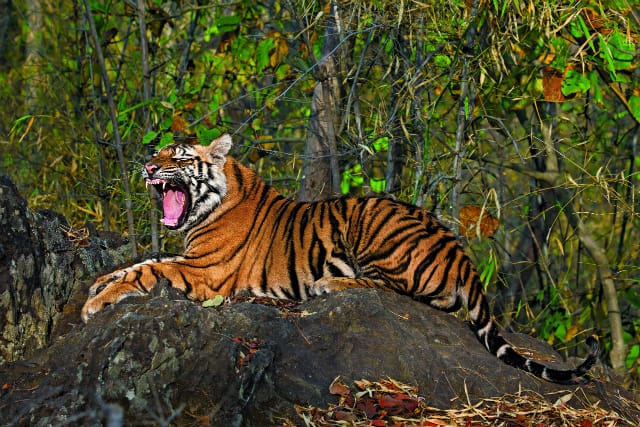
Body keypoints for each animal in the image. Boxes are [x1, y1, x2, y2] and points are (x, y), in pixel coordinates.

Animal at [81, 133, 599, 384]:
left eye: (181, 157)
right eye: (158, 152)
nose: (149, 166)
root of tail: (462, 252)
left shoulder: (204, 271)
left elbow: (149, 268)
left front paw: (93, 304)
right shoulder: (187, 257)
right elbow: (137, 264)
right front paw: (98, 285)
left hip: (375, 226)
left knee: (405, 293)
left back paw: (329, 284)